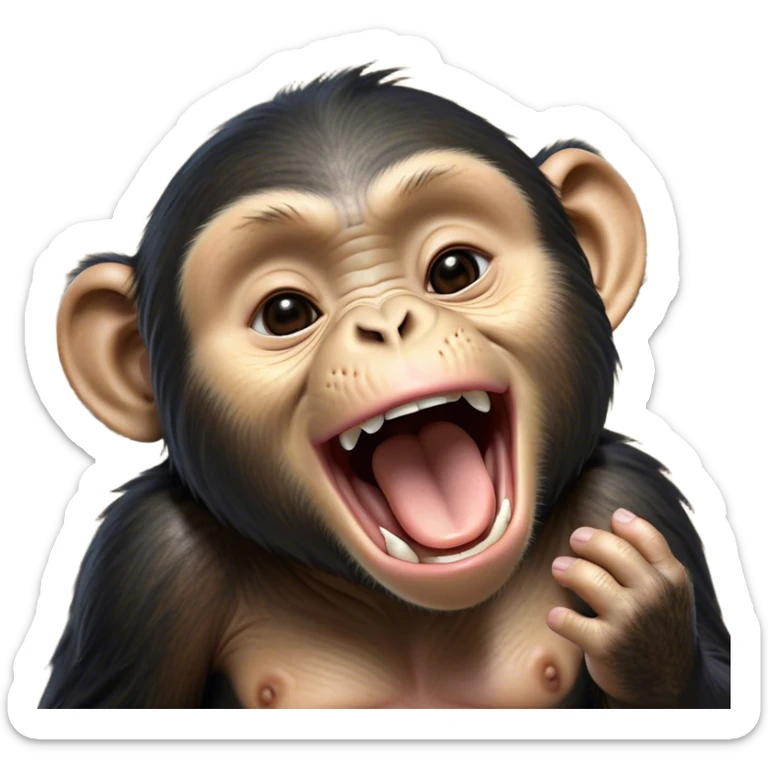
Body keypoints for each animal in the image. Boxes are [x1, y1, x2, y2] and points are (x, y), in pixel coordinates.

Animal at [32, 65, 729, 709]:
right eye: (285, 314)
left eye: (455, 270)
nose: (387, 324)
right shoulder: (142, 568)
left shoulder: (632, 498)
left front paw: (643, 619)